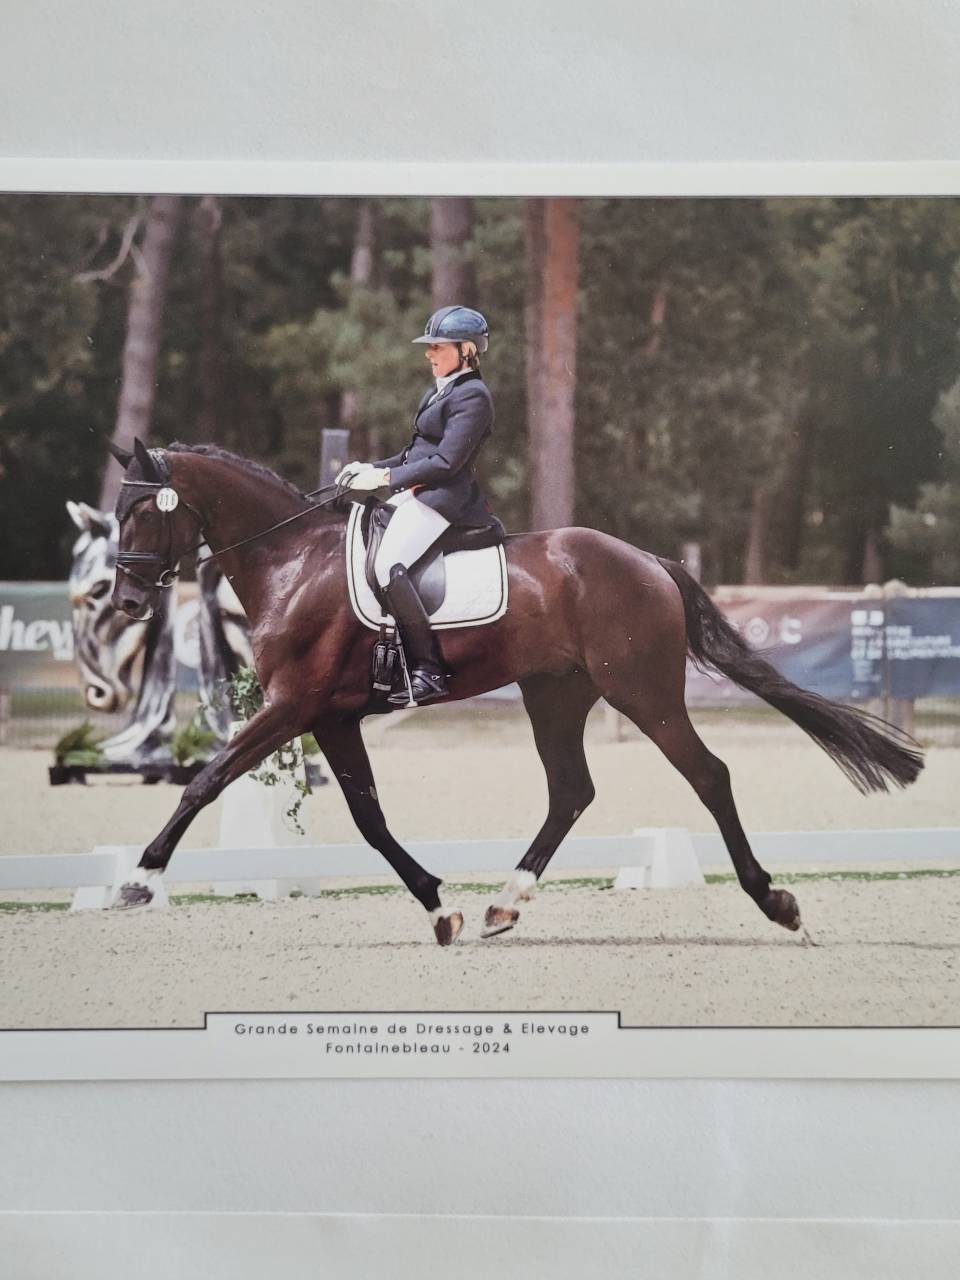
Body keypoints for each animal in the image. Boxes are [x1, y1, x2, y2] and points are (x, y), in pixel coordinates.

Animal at [107, 437, 924, 946]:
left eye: (143, 511)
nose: (125, 602)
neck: (291, 561)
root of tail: (650, 561)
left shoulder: (292, 707)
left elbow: (206, 780)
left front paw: (141, 880)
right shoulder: (333, 719)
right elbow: (370, 820)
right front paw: (440, 909)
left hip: (643, 693)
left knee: (707, 775)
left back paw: (775, 902)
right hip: (555, 694)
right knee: (571, 791)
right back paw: (504, 902)